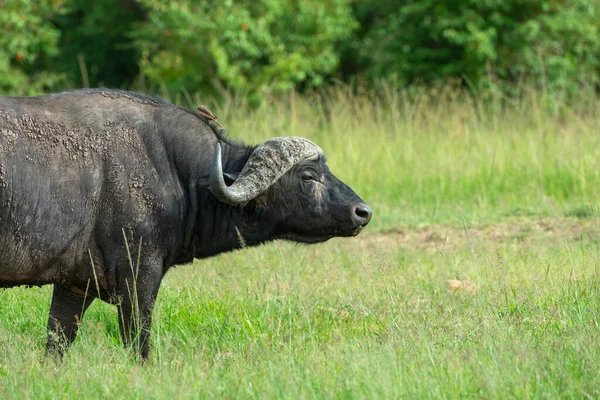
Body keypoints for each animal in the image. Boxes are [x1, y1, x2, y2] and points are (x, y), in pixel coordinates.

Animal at [0, 90, 372, 360]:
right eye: (308, 176)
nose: (362, 212)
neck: (177, 171)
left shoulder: (74, 285)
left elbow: (56, 343)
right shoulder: (138, 279)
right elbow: (138, 345)